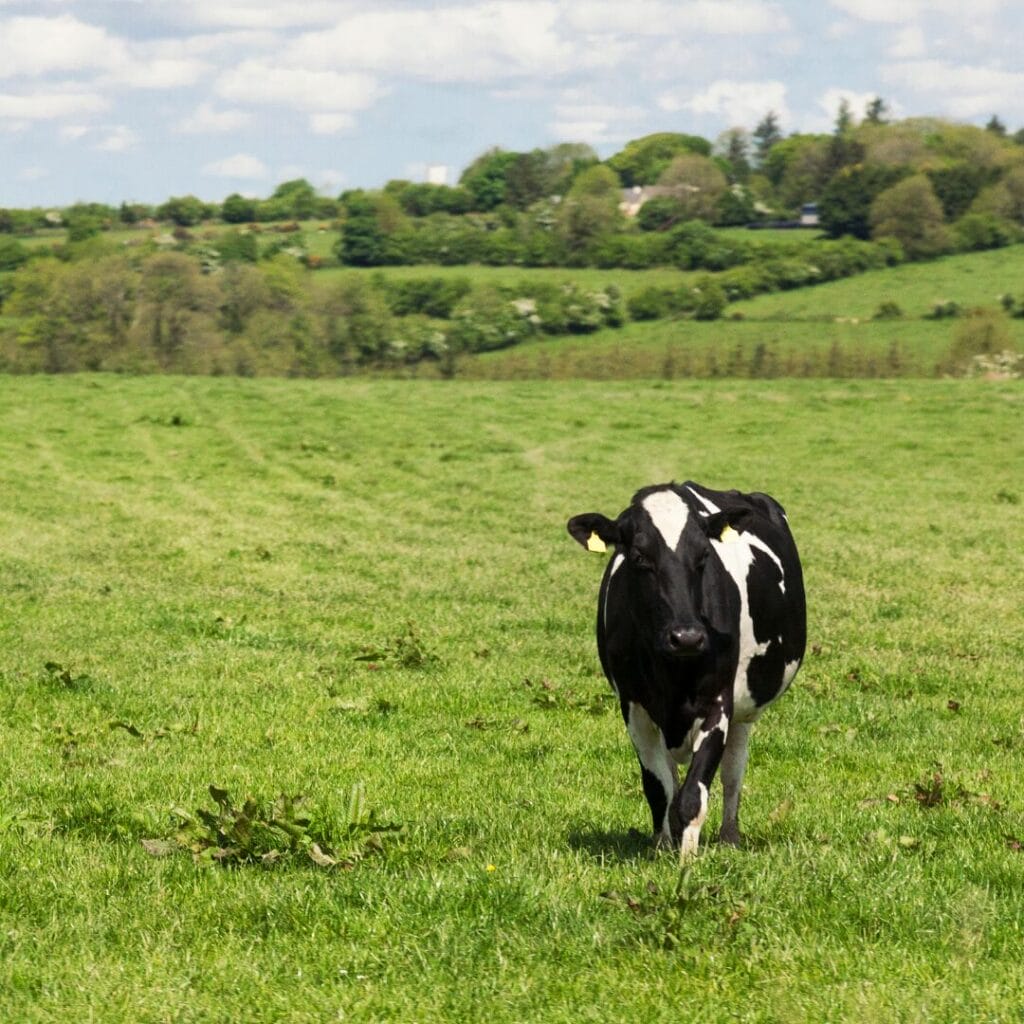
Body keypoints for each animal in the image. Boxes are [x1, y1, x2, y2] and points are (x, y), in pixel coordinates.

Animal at [567, 481, 805, 856]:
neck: (672, 674)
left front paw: (687, 859)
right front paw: (663, 847)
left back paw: (729, 836)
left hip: (744, 711)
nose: (687, 637)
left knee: (732, 772)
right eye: (639, 557)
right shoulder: (634, 707)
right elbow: (658, 788)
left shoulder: (718, 704)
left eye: (704, 557)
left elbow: (694, 793)